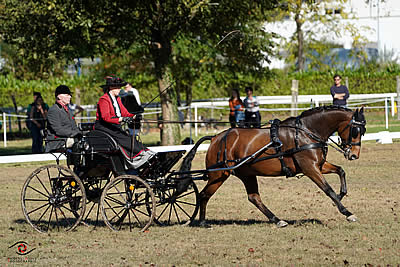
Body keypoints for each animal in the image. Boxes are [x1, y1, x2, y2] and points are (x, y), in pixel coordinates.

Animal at [180, 105, 368, 227]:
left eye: (363, 131)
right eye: (355, 131)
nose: (354, 155)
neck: (306, 132)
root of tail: (215, 138)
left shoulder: (318, 165)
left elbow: (340, 171)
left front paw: (342, 194)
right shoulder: (310, 168)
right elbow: (328, 189)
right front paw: (347, 213)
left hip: (246, 174)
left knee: (253, 198)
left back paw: (277, 220)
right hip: (218, 175)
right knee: (203, 194)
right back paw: (202, 222)